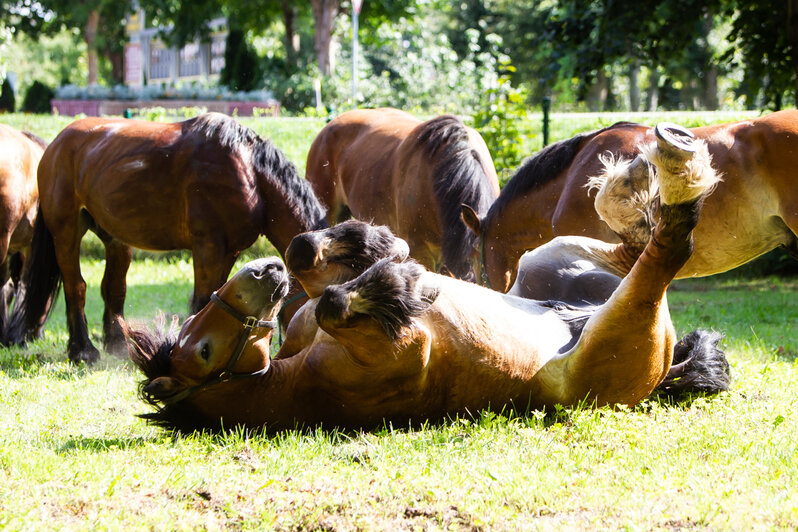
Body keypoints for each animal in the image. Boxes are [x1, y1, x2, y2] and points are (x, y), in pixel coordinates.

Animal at [9, 111, 328, 362]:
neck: (250, 173)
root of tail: (55, 145)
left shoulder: (230, 250)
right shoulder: (209, 246)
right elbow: (205, 300)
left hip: (114, 237)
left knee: (113, 288)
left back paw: (118, 345)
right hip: (66, 230)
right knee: (76, 286)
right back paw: (82, 350)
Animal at [128, 130, 736, 432]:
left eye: (200, 330)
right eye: (203, 352)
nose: (263, 272)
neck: (294, 378)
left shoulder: (301, 312)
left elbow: (312, 264)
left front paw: (376, 253)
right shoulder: (399, 353)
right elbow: (333, 302)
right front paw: (402, 283)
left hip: (552, 256)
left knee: (632, 243)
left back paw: (636, 174)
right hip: (620, 330)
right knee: (664, 251)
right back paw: (678, 171)